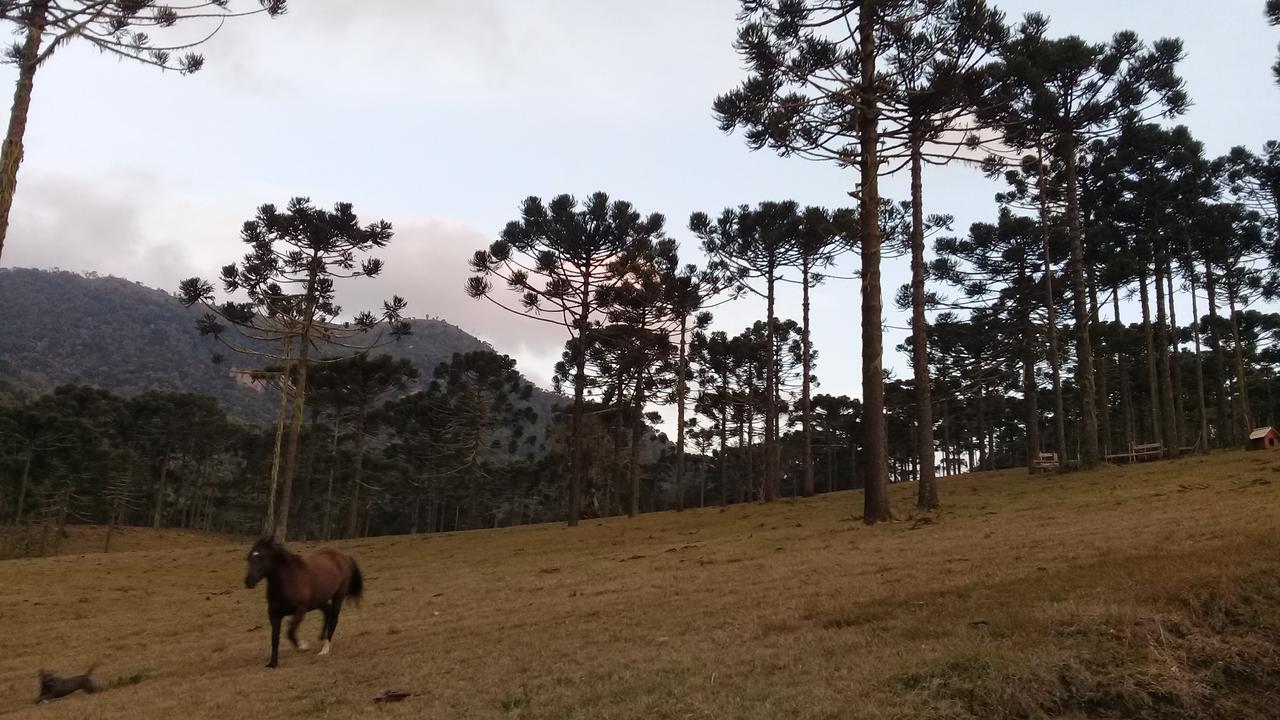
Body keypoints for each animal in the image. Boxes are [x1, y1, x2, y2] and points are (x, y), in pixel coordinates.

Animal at [241, 535, 363, 666]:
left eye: (262, 557)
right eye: (249, 558)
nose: (249, 581)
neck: (288, 580)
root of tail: (344, 556)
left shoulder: (300, 610)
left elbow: (290, 631)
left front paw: (303, 646)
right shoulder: (274, 614)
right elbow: (274, 639)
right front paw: (272, 664)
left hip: (338, 597)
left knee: (333, 620)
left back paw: (324, 649)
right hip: (319, 600)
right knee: (327, 611)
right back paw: (321, 637)